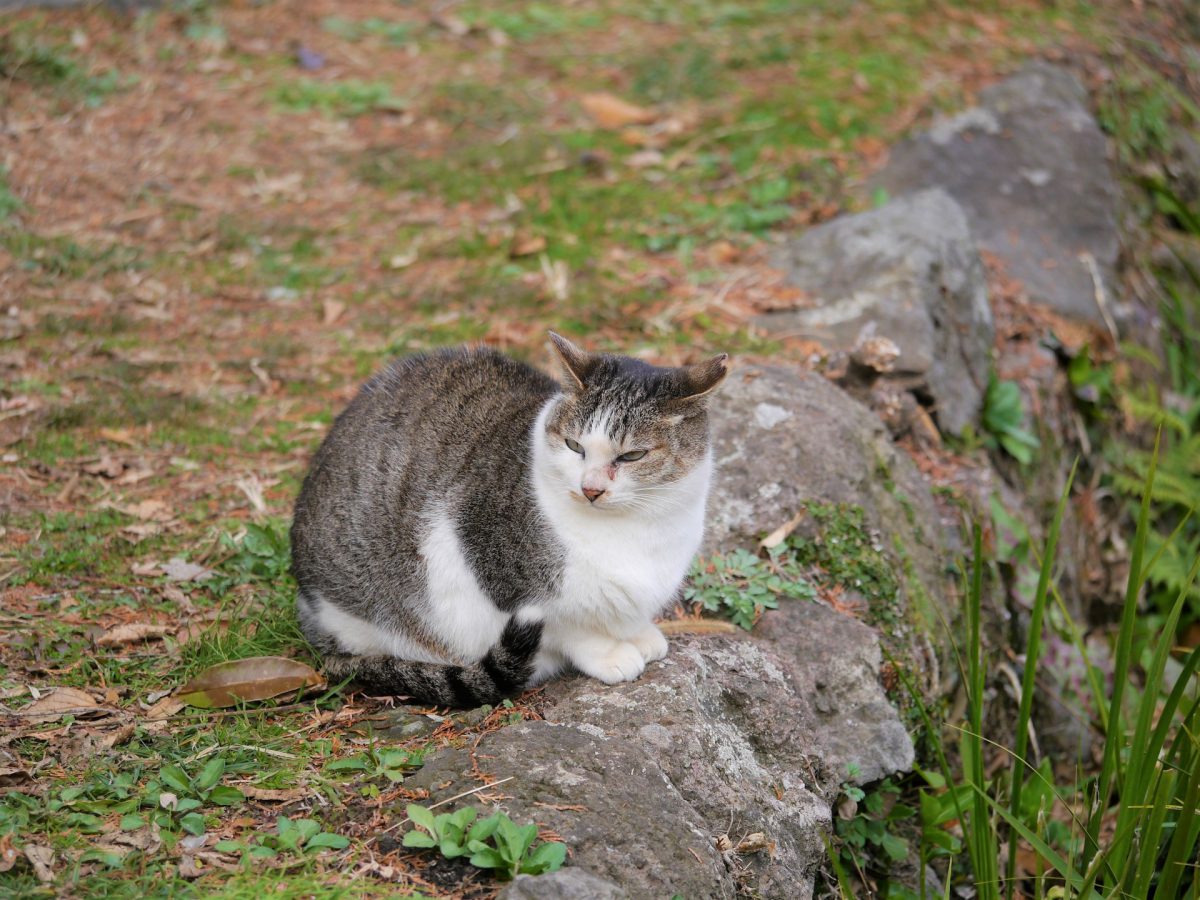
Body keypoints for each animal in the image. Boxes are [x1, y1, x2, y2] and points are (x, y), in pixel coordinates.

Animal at [290, 336, 724, 710]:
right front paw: (610, 652)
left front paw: (639, 633)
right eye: (575, 446)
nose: (590, 489)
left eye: (632, 456)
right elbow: (569, 626)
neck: (633, 528)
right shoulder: (498, 575)